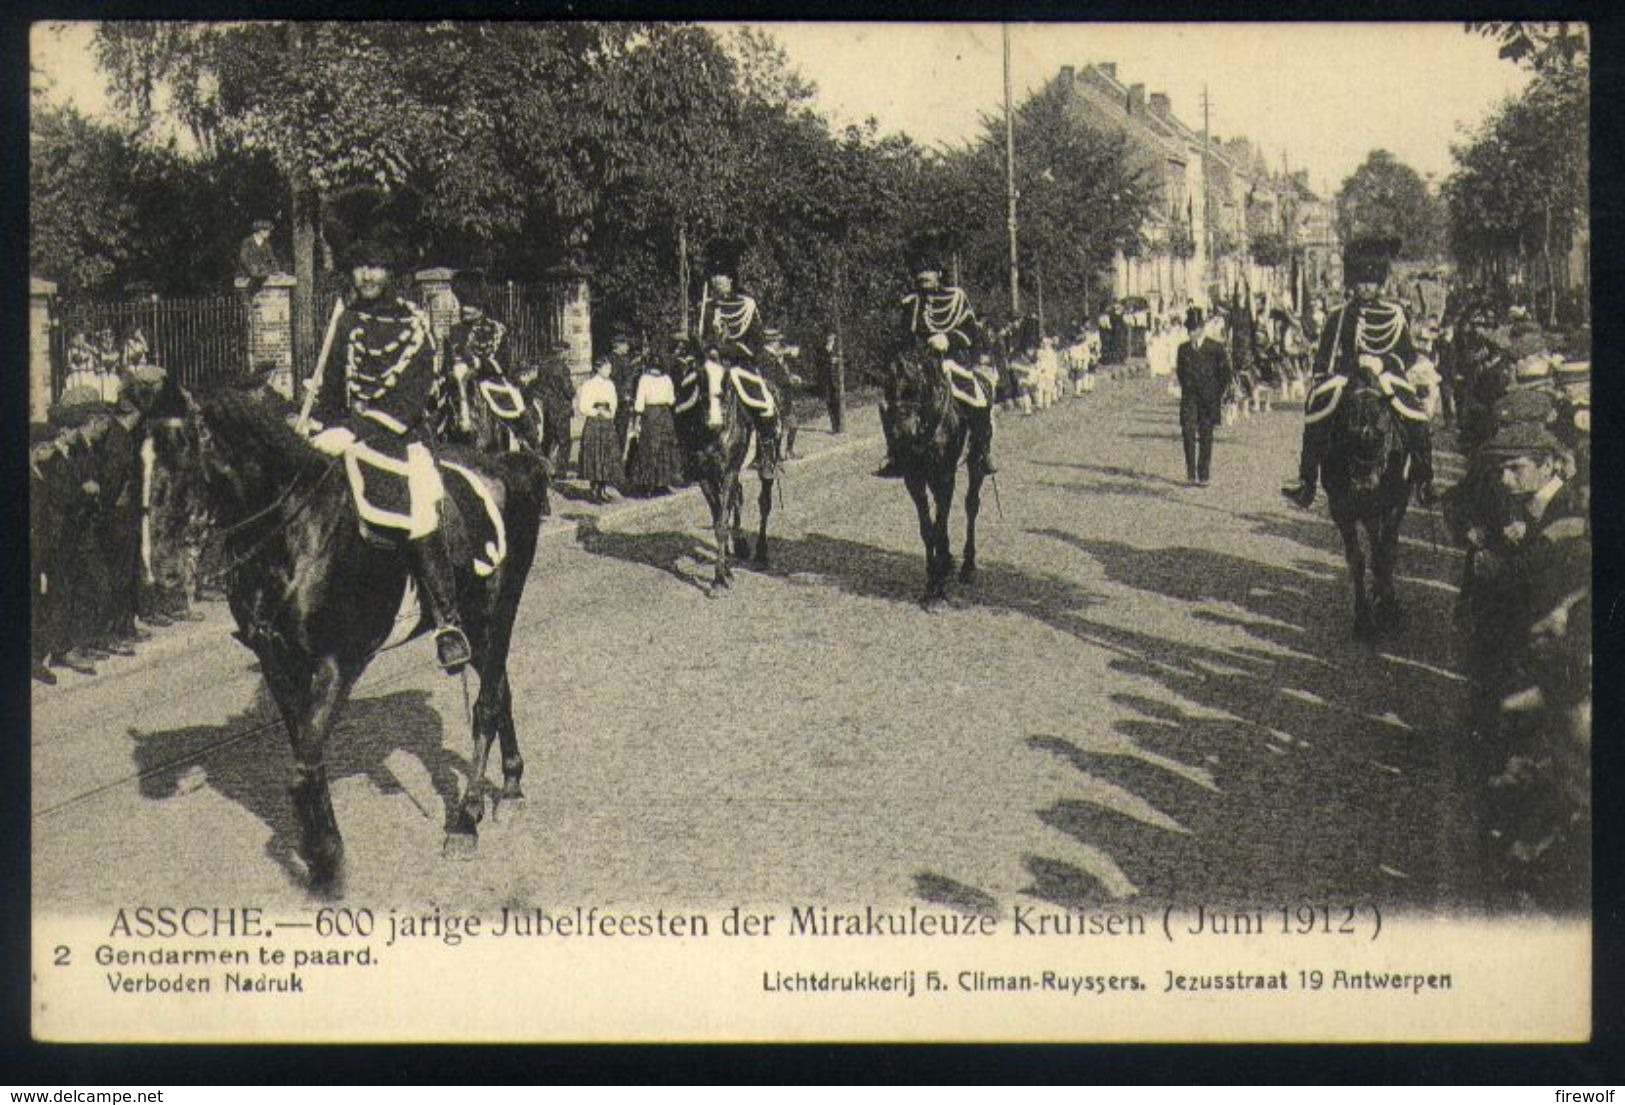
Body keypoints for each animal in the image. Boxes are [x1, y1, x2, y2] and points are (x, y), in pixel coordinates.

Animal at [138, 380, 552, 890]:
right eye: (139, 460)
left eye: (181, 451)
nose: (162, 570)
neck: (295, 533)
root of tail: (511, 467)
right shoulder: (279, 664)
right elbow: (306, 756)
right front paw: (319, 851)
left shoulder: (337, 662)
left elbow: (304, 764)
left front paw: (326, 855)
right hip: (476, 625)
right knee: (501, 690)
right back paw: (510, 787)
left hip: (499, 609)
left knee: (487, 704)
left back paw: (465, 820)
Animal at [672, 364, 773, 591]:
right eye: (701, 381)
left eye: (726, 381)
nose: (715, 423)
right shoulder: (704, 476)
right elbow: (719, 519)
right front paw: (724, 572)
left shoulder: (729, 471)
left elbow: (722, 522)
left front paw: (719, 578)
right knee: (738, 496)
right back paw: (741, 545)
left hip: (765, 460)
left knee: (764, 501)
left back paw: (762, 552)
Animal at [890, 351, 988, 607]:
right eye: (888, 388)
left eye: (914, 389)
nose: (902, 435)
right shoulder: (914, 480)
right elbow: (928, 529)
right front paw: (932, 578)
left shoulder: (945, 476)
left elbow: (940, 525)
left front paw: (940, 582)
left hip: (976, 461)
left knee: (971, 504)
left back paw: (967, 565)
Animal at [1326, 362, 1417, 640]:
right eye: (1347, 434)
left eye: (1382, 432)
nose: (1365, 485)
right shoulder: (1342, 510)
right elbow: (1357, 559)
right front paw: (1364, 618)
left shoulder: (1396, 504)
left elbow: (1385, 553)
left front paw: (1388, 608)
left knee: (1386, 547)